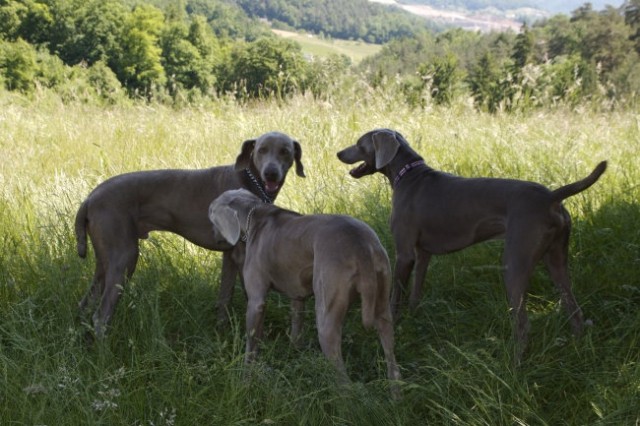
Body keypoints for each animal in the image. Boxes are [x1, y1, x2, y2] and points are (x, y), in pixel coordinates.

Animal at [75, 131, 304, 338]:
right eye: (261, 150)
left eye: (285, 151)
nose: (271, 173)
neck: (249, 181)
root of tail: (89, 199)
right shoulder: (243, 257)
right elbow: (250, 297)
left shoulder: (230, 256)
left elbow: (225, 296)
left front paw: (222, 331)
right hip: (124, 257)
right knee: (100, 316)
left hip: (105, 261)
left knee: (86, 304)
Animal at [209, 190, 400, 382]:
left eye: (210, 214)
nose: (215, 240)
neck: (255, 214)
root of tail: (362, 246)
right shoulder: (297, 295)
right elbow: (296, 327)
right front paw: (295, 355)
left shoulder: (256, 302)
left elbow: (251, 342)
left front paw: (246, 376)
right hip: (383, 300)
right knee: (393, 364)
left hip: (326, 315)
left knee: (344, 378)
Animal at [338, 128, 608, 354]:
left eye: (359, 143)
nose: (338, 153)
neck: (408, 174)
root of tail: (551, 197)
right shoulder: (422, 253)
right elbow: (416, 290)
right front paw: (414, 317)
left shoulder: (404, 253)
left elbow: (396, 296)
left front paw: (395, 324)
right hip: (557, 259)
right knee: (574, 310)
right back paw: (578, 348)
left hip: (515, 262)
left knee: (523, 325)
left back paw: (514, 365)